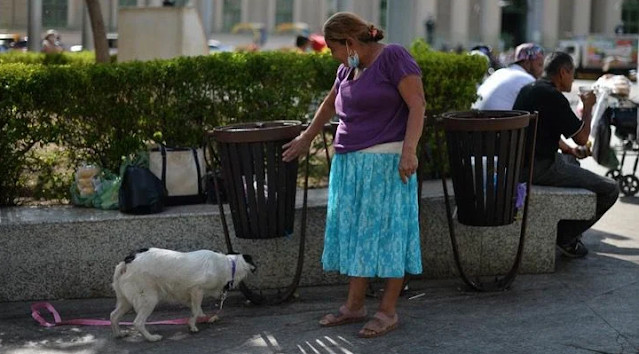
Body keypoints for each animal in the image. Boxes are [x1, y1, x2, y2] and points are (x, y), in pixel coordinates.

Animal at [109, 248, 255, 342]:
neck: (229, 264)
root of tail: (127, 260)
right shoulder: (197, 290)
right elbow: (195, 311)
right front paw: (193, 326)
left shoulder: (190, 295)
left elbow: (197, 310)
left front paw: (204, 317)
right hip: (148, 299)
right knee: (138, 322)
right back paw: (151, 338)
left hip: (125, 301)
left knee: (113, 315)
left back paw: (119, 334)